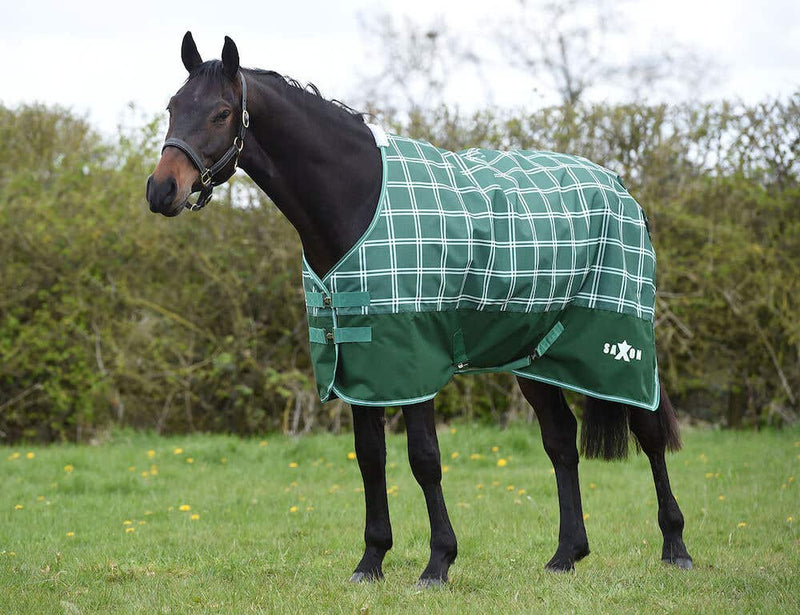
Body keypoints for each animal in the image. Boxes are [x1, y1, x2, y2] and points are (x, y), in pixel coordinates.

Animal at [145, 32, 692, 585]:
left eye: (221, 113)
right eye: (172, 106)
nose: (161, 190)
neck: (358, 201)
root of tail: (621, 188)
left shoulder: (413, 357)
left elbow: (424, 458)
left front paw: (438, 562)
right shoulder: (358, 356)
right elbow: (370, 458)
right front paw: (371, 560)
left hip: (619, 344)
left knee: (649, 433)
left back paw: (675, 546)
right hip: (534, 354)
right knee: (561, 440)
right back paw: (566, 555)